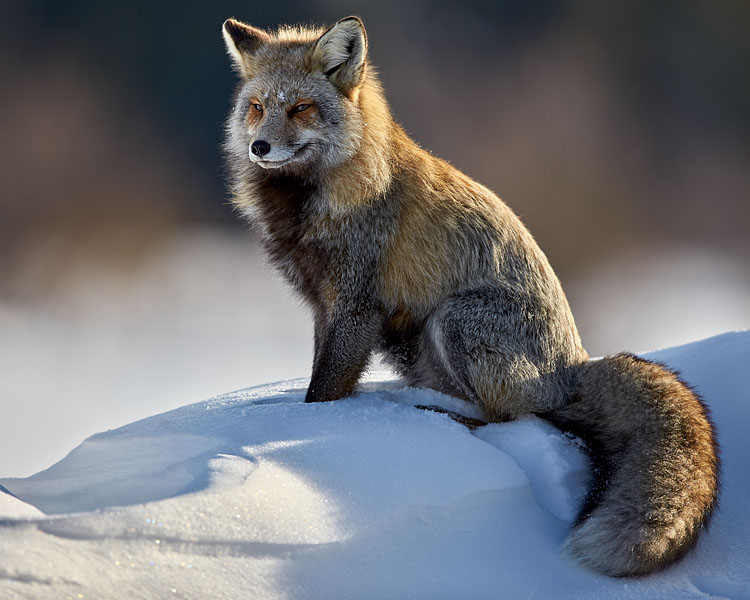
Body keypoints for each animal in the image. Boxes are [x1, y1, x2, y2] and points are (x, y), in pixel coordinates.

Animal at [221, 16, 719, 577]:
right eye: (257, 107)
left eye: (301, 108)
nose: (259, 147)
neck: (313, 202)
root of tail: (573, 366)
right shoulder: (322, 305)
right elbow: (317, 382)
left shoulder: (355, 303)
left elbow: (322, 391)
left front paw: (309, 424)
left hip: (454, 319)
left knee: (506, 418)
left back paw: (440, 419)